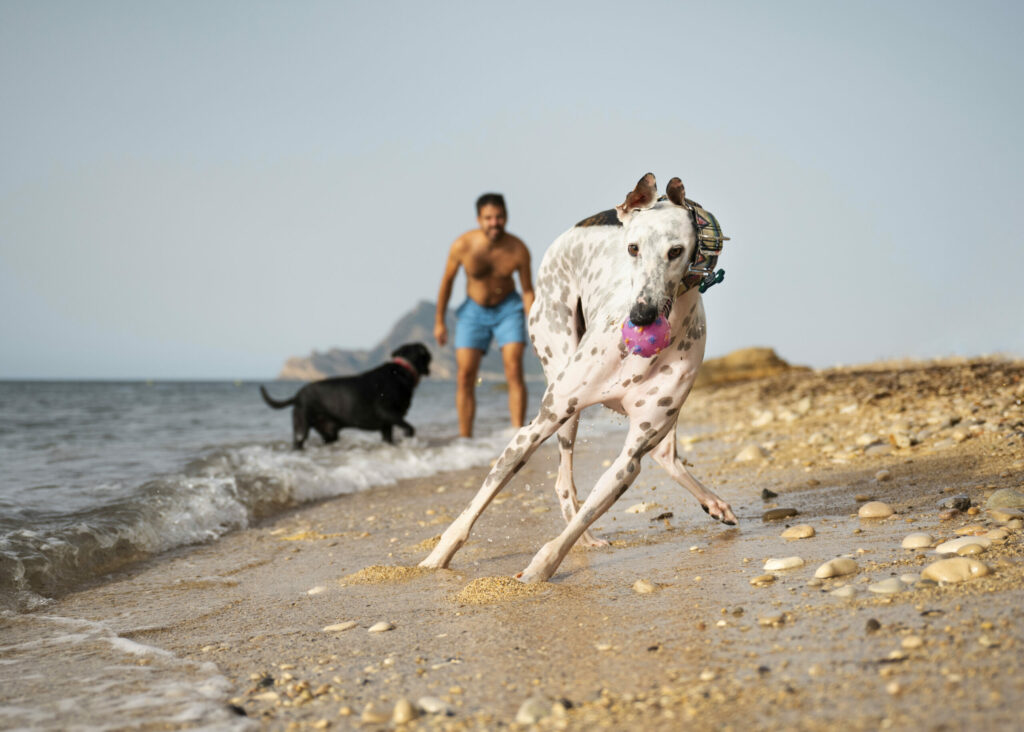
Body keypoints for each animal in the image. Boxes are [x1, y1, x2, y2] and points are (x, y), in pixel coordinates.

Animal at [260, 346, 432, 452]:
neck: (403, 370)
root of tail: (297, 396)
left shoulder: (386, 425)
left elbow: (389, 438)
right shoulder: (387, 412)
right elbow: (410, 428)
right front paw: (407, 436)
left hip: (328, 433)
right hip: (301, 429)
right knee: (298, 442)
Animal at [421, 175, 737, 581]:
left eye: (676, 251)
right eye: (632, 248)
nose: (642, 315)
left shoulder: (631, 455)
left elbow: (590, 510)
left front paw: (539, 569)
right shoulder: (538, 424)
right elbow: (481, 498)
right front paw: (437, 558)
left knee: (661, 454)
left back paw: (710, 504)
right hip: (562, 391)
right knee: (564, 481)